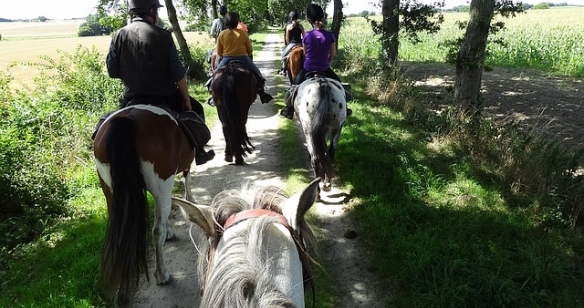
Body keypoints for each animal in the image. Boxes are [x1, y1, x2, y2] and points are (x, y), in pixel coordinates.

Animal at [93, 104, 196, 306]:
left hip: (111, 192)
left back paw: (121, 294)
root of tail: (127, 119)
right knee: (156, 231)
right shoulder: (170, 180)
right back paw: (162, 275)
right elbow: (185, 181)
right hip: (162, 182)